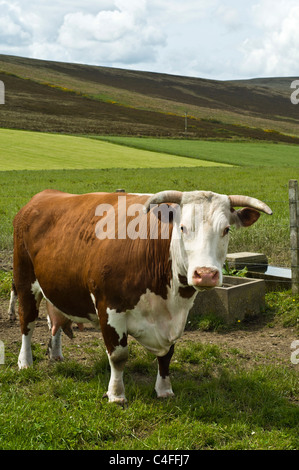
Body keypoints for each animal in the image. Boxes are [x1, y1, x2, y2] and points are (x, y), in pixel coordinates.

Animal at [10, 189, 274, 402]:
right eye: (182, 228)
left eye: (226, 229)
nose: (206, 274)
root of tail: (43, 196)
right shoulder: (109, 307)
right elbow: (118, 355)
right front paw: (116, 394)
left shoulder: (176, 317)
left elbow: (167, 356)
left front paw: (164, 390)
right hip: (24, 281)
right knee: (27, 323)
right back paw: (25, 362)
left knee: (53, 322)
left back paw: (55, 354)